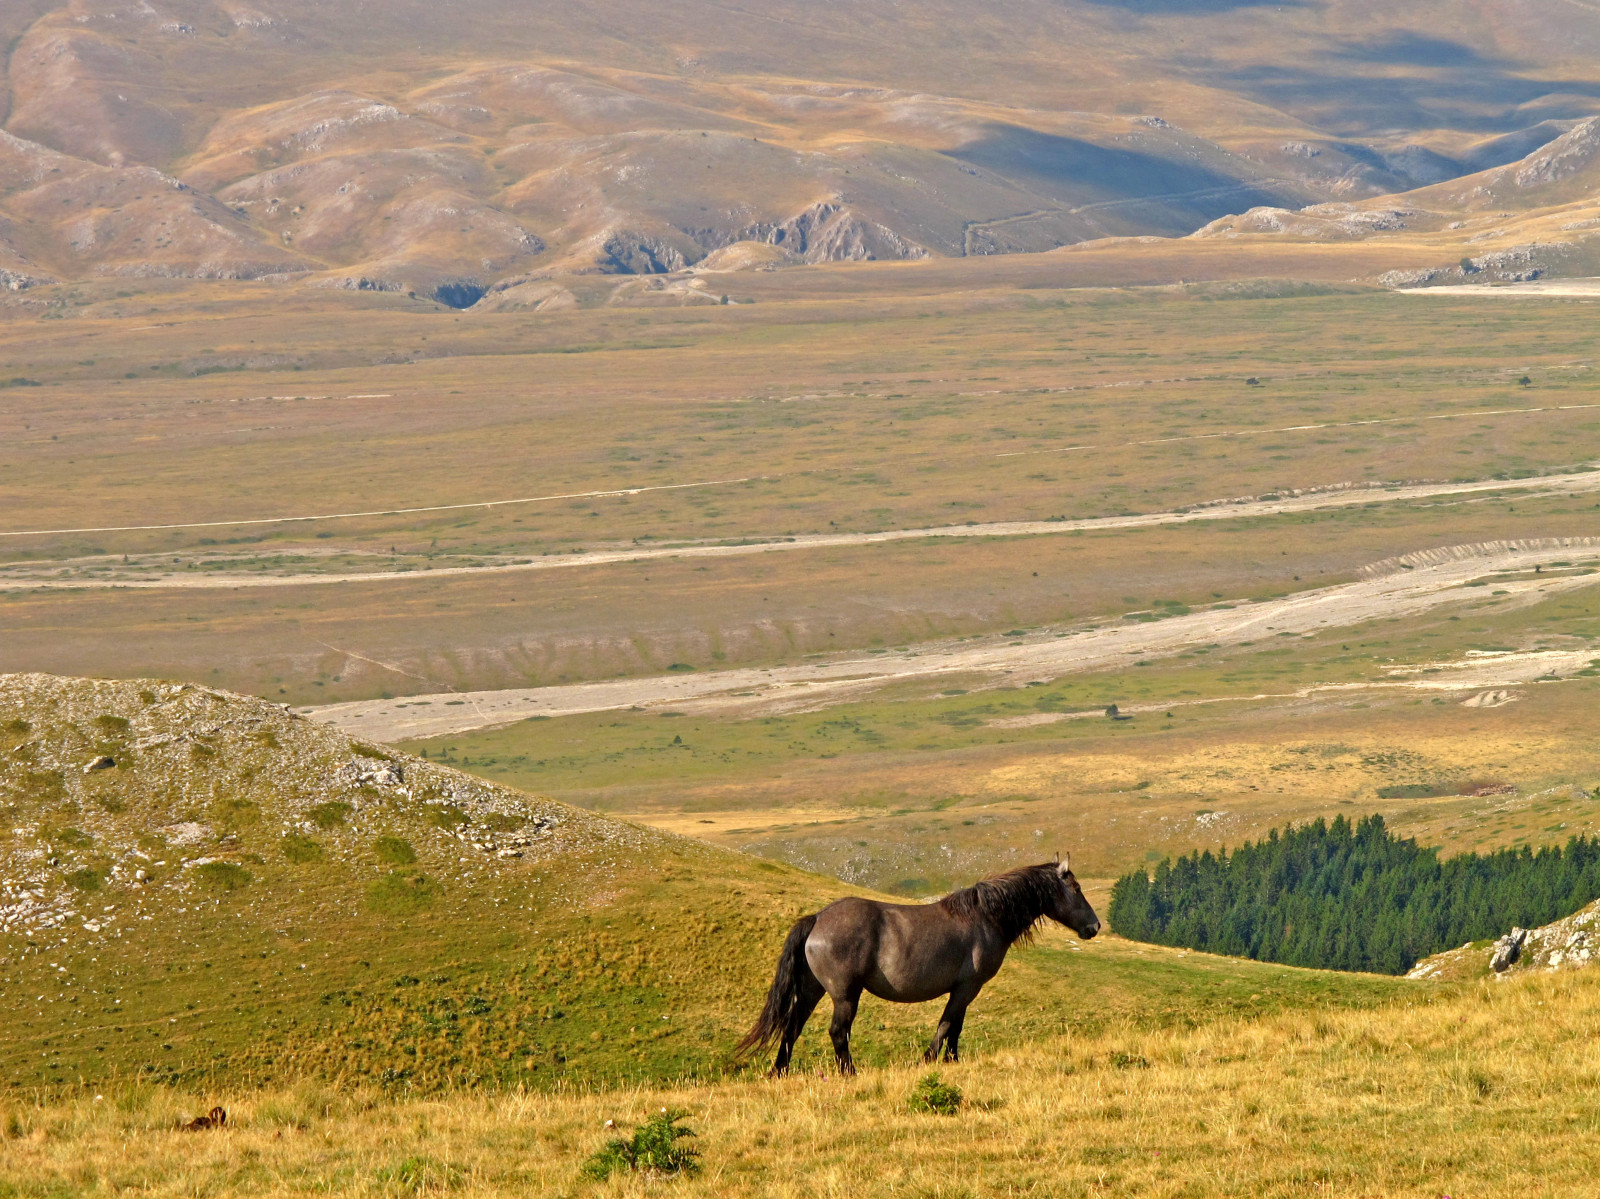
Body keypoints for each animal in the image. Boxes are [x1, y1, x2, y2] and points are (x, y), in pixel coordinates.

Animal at [736, 856, 1100, 1076]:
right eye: (1076, 888)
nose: (1094, 926)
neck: (985, 916)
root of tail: (817, 919)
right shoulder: (967, 987)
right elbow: (946, 1025)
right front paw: (928, 1060)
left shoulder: (964, 990)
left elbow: (955, 1028)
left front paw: (952, 1061)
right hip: (845, 995)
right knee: (838, 1032)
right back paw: (849, 1074)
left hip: (812, 990)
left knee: (792, 1028)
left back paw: (779, 1072)